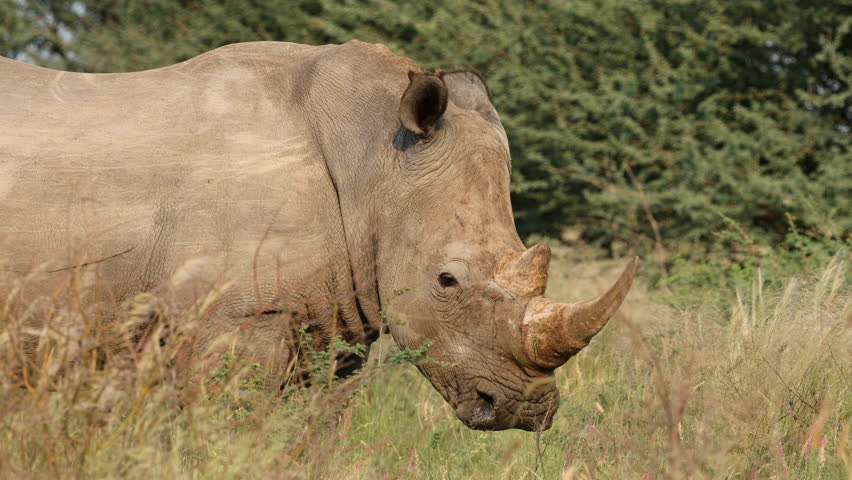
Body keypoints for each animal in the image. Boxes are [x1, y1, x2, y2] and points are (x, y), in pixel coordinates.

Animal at [0, 41, 636, 431]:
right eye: (446, 281)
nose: (525, 411)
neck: (375, 160)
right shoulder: (233, 314)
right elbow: (228, 420)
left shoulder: (337, 312)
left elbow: (318, 429)